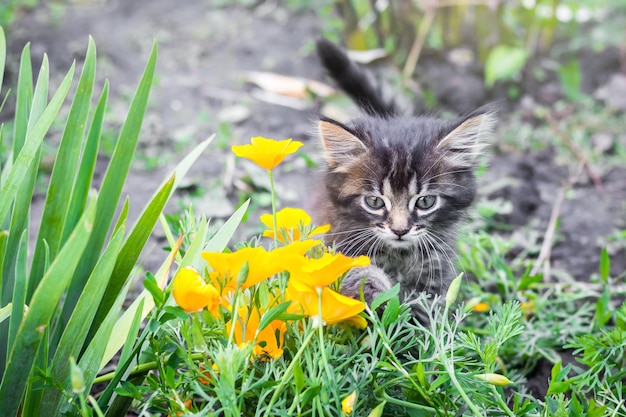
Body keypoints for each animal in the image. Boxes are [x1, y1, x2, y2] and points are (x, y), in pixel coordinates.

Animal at [314, 39, 494, 308]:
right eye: (374, 201)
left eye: (426, 201)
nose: (400, 230)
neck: (398, 255)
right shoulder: (340, 244)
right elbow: (359, 274)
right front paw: (378, 295)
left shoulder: (435, 271)